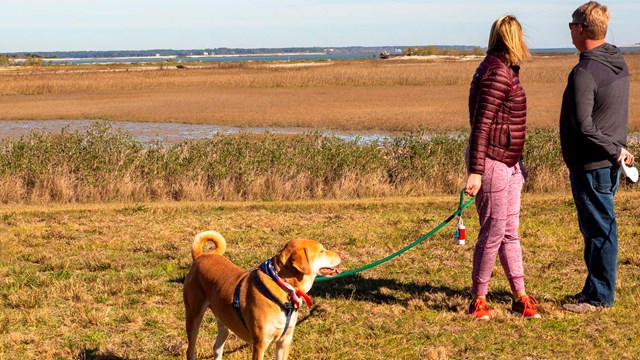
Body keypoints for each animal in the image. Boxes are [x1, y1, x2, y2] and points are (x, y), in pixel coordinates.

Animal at [182, 231, 342, 360]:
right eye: (321, 251)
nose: (341, 254)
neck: (282, 286)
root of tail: (200, 256)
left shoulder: (284, 341)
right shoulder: (260, 344)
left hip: (224, 321)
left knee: (217, 348)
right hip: (193, 316)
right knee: (190, 349)